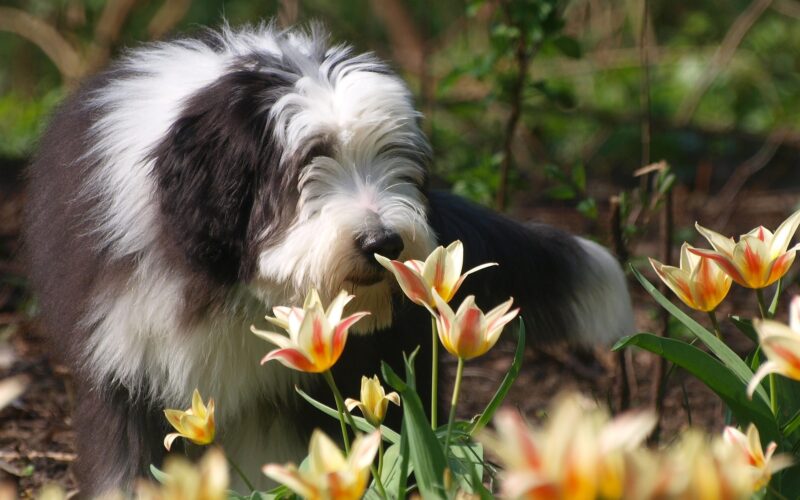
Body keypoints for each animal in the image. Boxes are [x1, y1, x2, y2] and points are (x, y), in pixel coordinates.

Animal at [25, 22, 636, 492]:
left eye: (394, 158)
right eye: (308, 162)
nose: (384, 243)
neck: (232, 287)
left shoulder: (310, 385)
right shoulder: (128, 370)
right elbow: (125, 467)